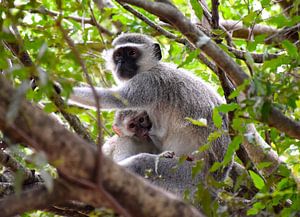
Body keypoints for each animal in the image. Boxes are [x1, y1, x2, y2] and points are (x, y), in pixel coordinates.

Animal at [70, 33, 232, 181]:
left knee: (142, 163)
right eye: (118, 55)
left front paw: (65, 89)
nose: (121, 62)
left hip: (187, 175)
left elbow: (113, 98)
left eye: (132, 53)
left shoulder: (148, 82)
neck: (153, 67)